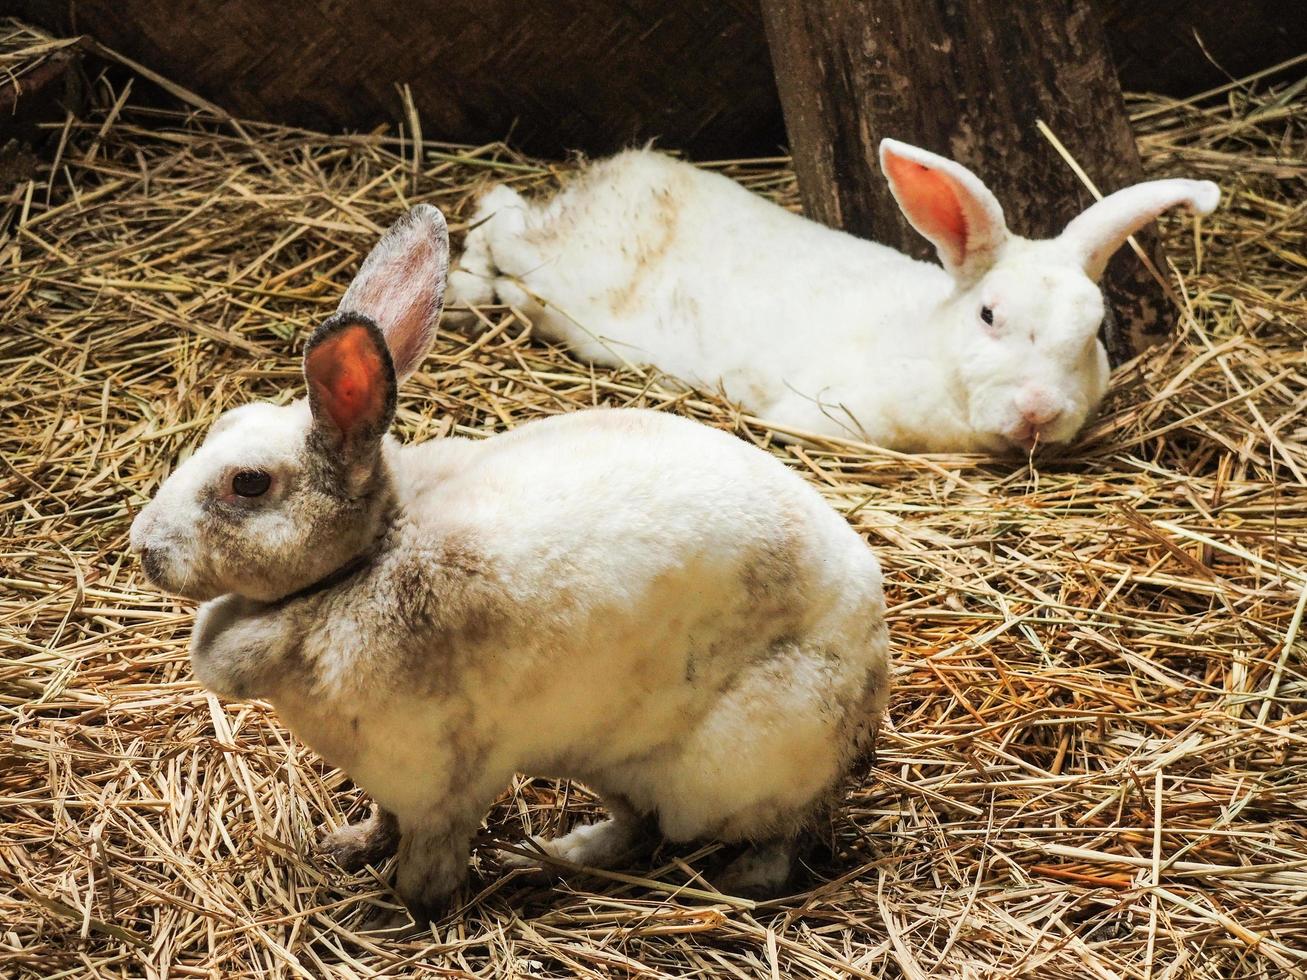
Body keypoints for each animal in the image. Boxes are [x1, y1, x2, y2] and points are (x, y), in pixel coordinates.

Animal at [129, 204, 890, 917]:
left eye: (249, 484)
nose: (145, 547)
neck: (367, 559)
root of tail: (872, 674)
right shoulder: (390, 783)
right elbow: (382, 821)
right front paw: (345, 845)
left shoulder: (441, 786)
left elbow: (426, 864)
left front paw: (404, 912)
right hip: (611, 762)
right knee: (637, 829)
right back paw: (549, 854)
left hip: (724, 774)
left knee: (777, 835)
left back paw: (733, 879)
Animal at [447, 141, 1219, 454]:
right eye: (988, 314)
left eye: (1094, 332)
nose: (1039, 411)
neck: (927, 347)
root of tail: (619, 171)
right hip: (559, 270)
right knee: (497, 215)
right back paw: (459, 288)